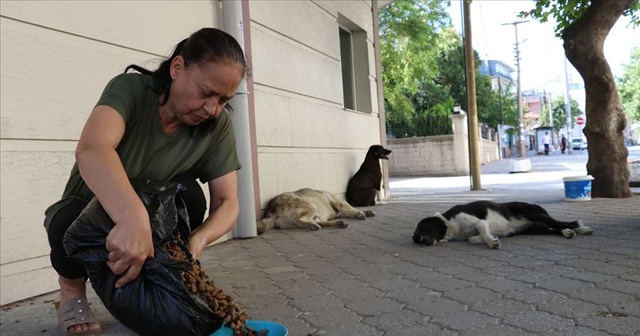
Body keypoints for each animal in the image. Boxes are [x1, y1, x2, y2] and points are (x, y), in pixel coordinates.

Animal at [412, 201, 592, 248]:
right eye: (417, 238)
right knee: (554, 229)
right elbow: (473, 238)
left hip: (540, 216)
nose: (424, 241)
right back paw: (567, 233)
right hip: (534, 229)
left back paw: (583, 229)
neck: (450, 224)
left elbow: (483, 234)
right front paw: (494, 238)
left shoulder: (479, 222)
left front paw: (492, 243)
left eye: (424, 228)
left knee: (565, 223)